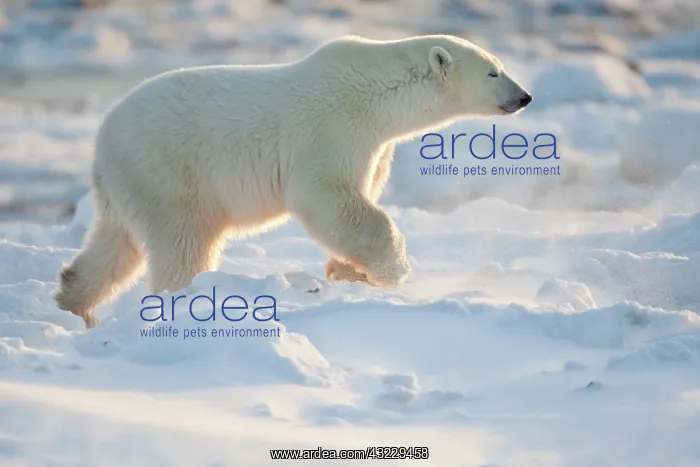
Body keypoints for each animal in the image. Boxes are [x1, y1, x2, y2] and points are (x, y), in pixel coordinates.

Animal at [53, 34, 532, 328]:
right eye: (493, 72)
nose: (524, 96)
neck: (378, 91)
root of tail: (101, 140)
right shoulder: (333, 126)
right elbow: (326, 196)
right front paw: (391, 270)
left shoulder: (375, 147)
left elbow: (360, 194)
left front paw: (346, 271)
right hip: (167, 170)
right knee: (183, 241)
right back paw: (186, 297)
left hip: (127, 184)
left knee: (114, 248)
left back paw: (74, 305)